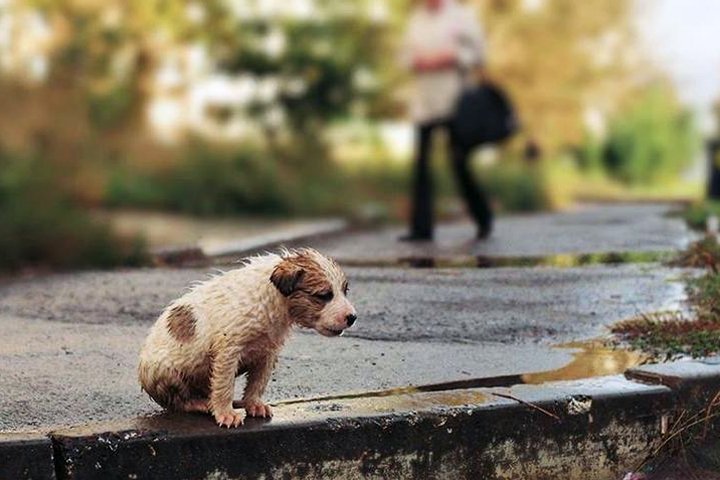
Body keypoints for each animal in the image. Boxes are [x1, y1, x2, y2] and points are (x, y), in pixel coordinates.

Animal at [136, 248, 356, 428]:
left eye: (345, 291)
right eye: (324, 295)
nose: (352, 317)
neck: (273, 298)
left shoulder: (267, 352)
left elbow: (258, 382)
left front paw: (253, 404)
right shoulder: (228, 350)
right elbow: (224, 385)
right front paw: (225, 413)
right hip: (167, 371)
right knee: (178, 400)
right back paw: (200, 403)